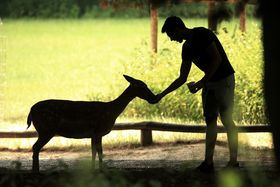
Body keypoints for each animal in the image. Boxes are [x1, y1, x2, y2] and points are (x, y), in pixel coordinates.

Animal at [26, 75, 155, 172]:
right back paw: (36, 171)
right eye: (143, 86)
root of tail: (31, 111)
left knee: (35, 147)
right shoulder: (98, 130)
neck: (111, 111)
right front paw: (101, 170)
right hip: (46, 129)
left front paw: (94, 169)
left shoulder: (94, 134)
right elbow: (100, 152)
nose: (153, 97)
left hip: (44, 130)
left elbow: (94, 151)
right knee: (35, 147)